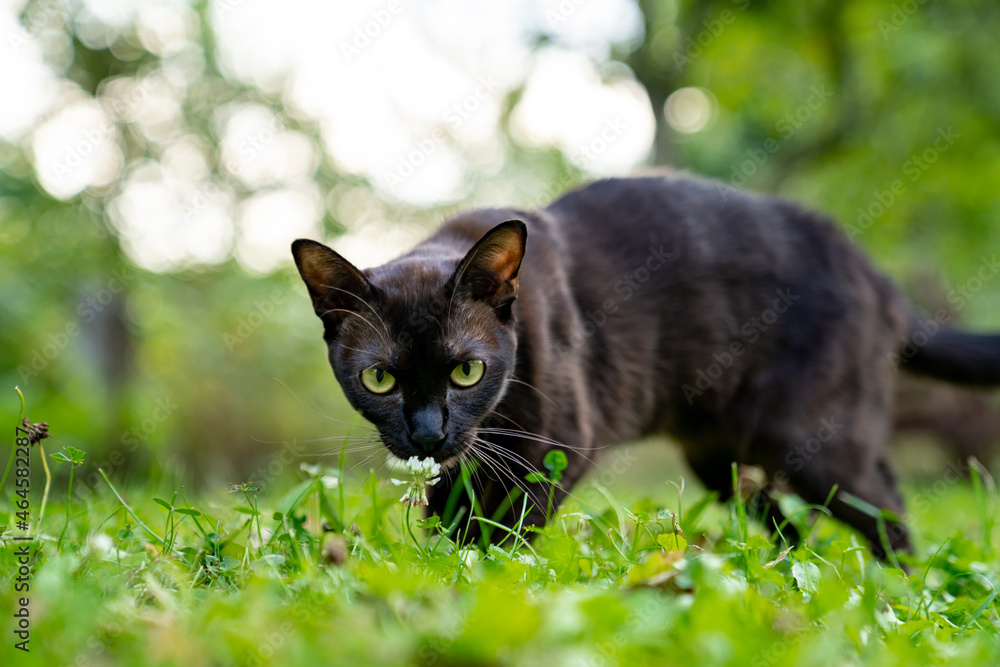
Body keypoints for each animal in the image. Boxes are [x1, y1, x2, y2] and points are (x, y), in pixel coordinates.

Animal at [290, 174, 1000, 560]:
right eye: (380, 379)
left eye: (467, 372)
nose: (428, 433)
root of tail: (875, 275)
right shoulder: (466, 464)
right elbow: (450, 517)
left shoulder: (558, 446)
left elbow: (503, 531)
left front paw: (479, 578)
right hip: (725, 460)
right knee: (789, 527)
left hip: (814, 446)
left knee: (889, 507)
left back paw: (897, 593)